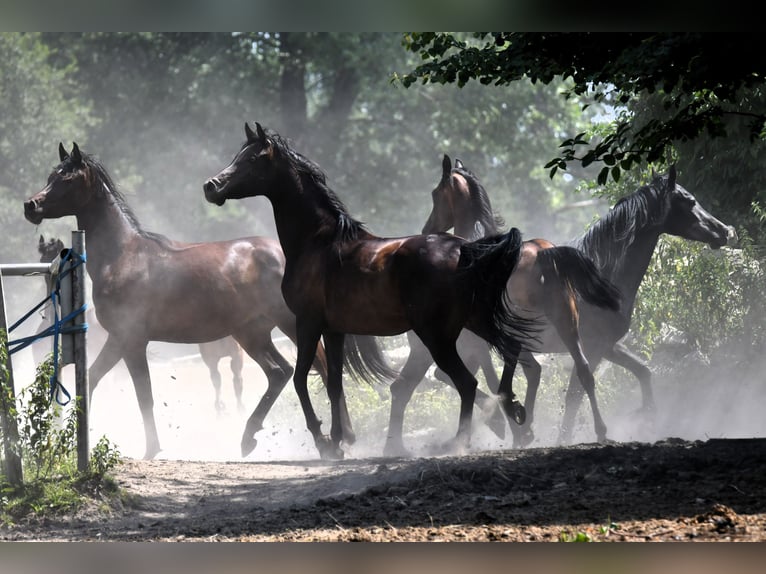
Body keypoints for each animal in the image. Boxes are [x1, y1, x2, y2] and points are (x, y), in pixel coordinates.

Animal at [25, 142, 356, 462]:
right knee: (280, 372)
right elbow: (92, 380)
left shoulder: (132, 341)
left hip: (289, 324)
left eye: (66, 178)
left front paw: (152, 449)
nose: (31, 205)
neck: (123, 256)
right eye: (51, 176)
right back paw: (251, 438)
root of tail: (285, 254)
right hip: (251, 333)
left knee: (320, 368)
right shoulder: (118, 339)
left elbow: (143, 394)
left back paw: (335, 441)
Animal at [204, 124, 540, 462]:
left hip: (438, 337)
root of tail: (464, 248)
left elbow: (300, 379)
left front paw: (323, 442)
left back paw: (457, 441)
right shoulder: (334, 330)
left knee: (467, 382)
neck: (319, 243)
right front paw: (338, 441)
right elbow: (335, 384)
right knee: (510, 350)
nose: (211, 186)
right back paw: (513, 408)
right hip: (474, 321)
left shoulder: (308, 323)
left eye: (252, 159)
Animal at [388, 155, 628, 452]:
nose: (427, 229)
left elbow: (474, 379)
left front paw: (505, 423)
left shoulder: (475, 343)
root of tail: (544, 253)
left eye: (436, 194)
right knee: (582, 371)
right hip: (565, 322)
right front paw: (515, 425)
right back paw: (598, 430)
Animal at [426, 156, 736, 446]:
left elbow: (642, 371)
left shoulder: (605, 346)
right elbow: (577, 392)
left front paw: (646, 415)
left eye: (435, 194)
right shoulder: (593, 345)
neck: (603, 270)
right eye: (690, 201)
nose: (724, 231)